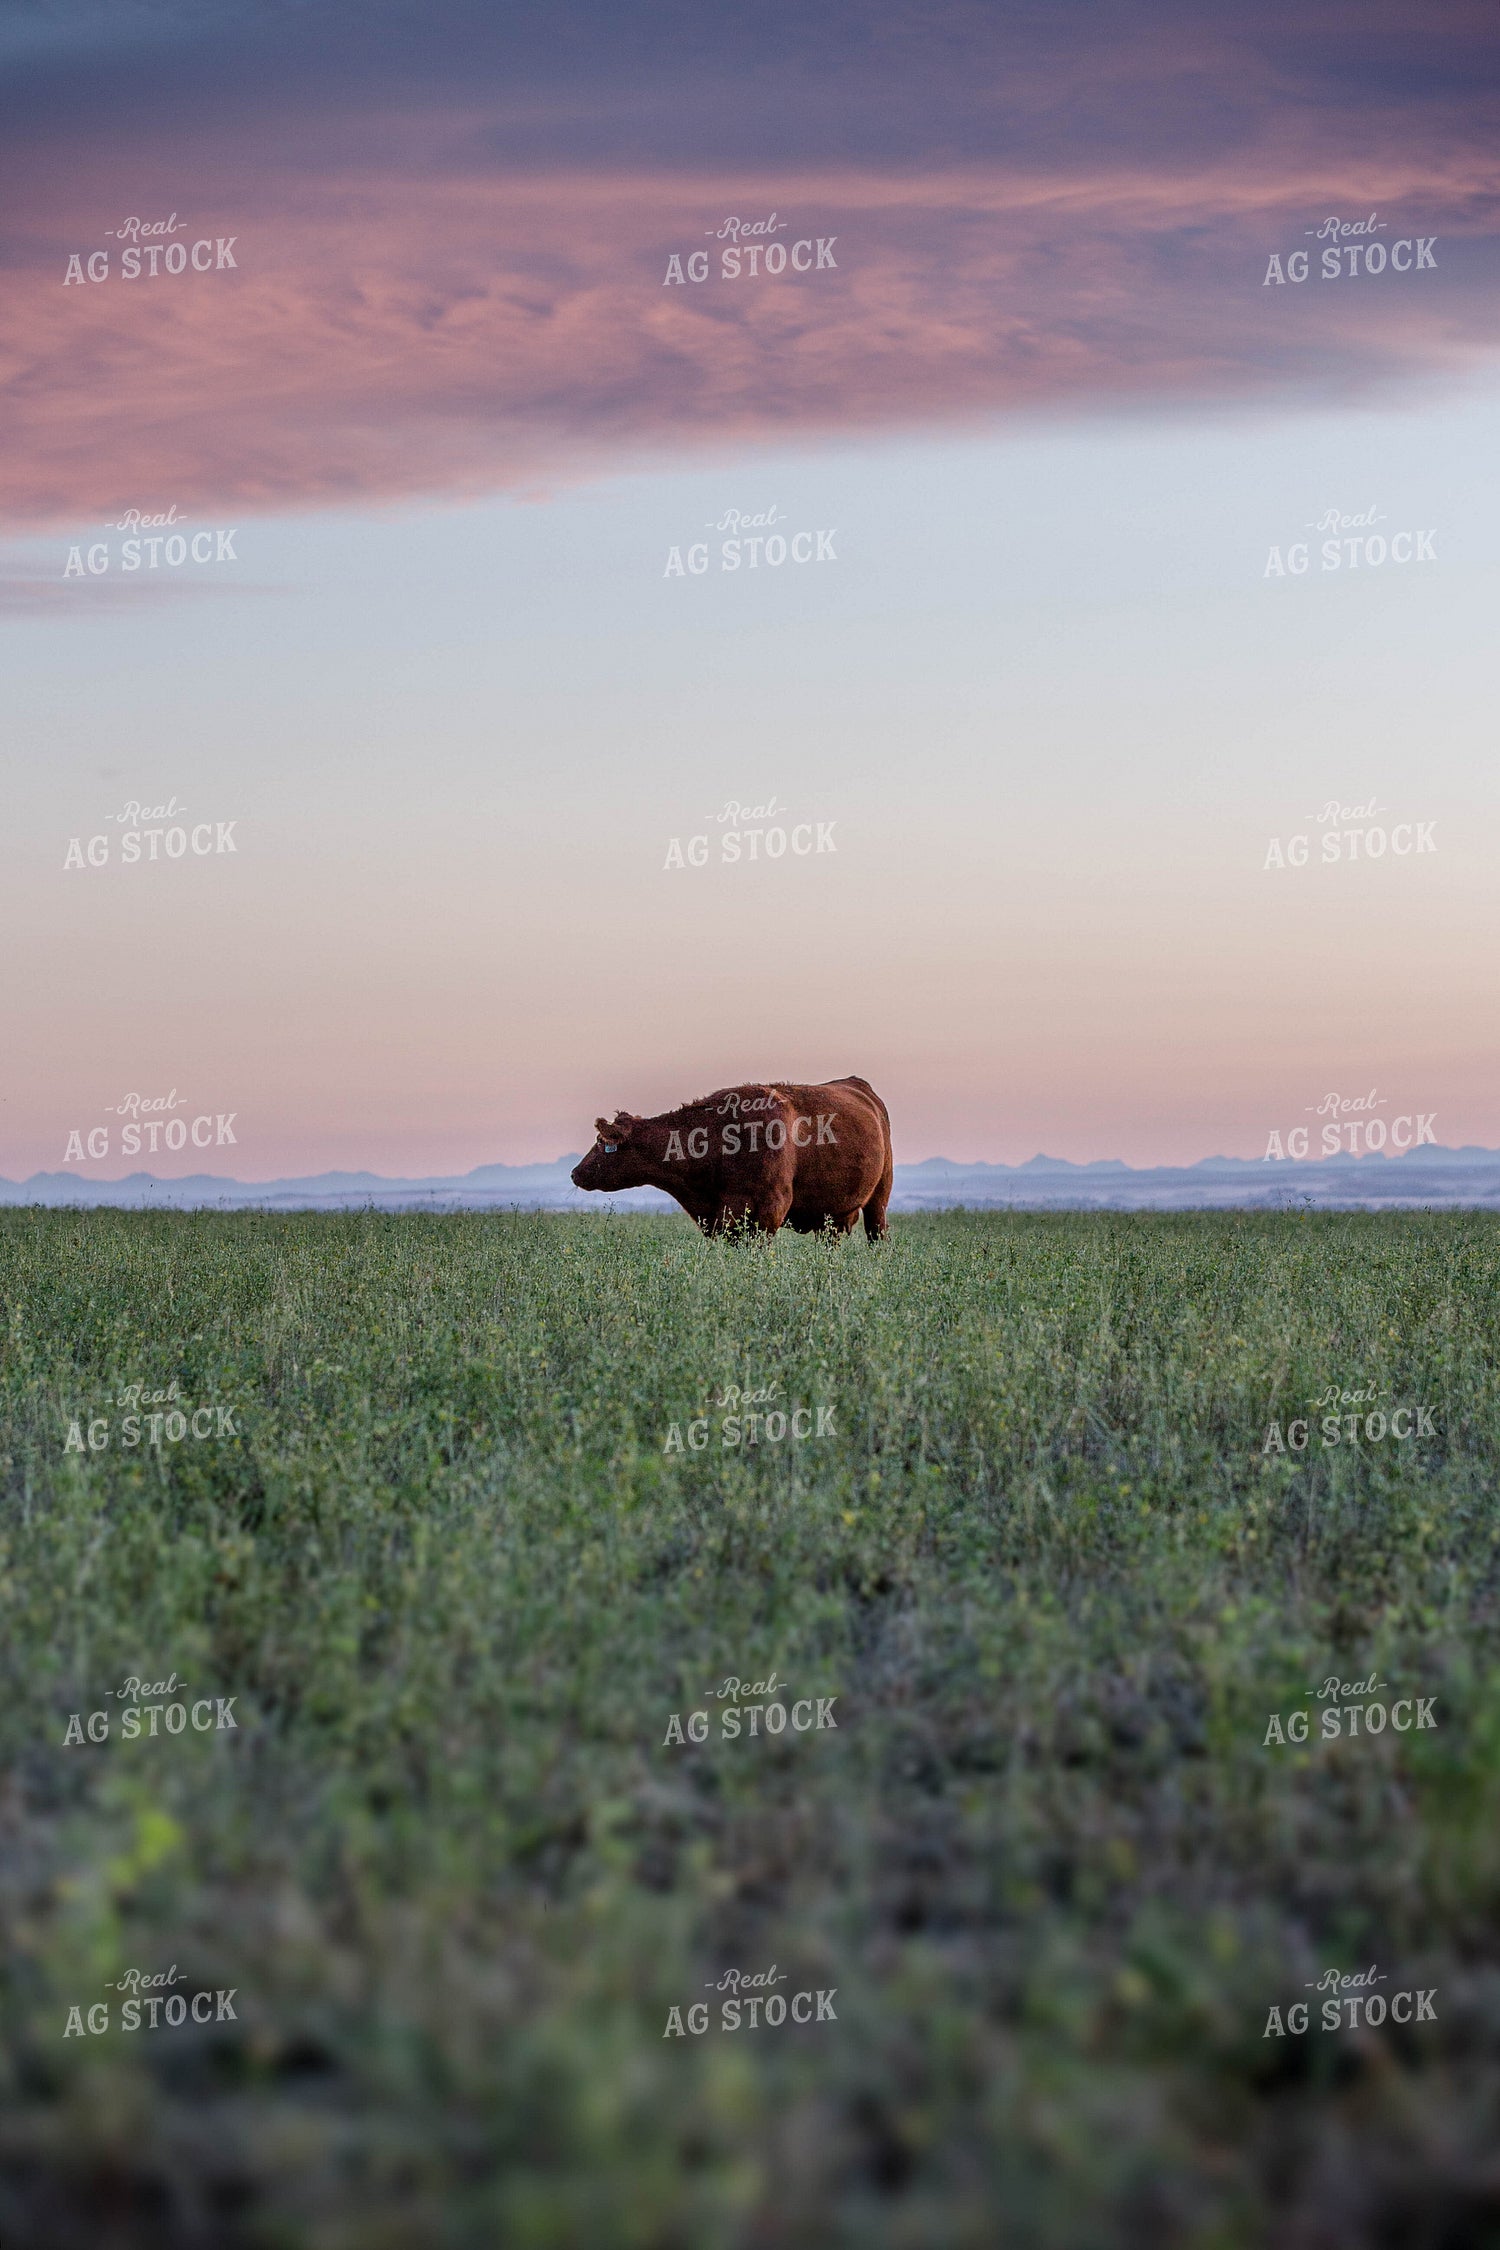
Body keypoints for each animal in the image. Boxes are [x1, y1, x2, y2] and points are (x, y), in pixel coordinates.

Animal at [570, 1076, 892, 1239]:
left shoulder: (767, 1214)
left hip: (879, 1198)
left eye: (600, 1142)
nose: (574, 1173)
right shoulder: (724, 1220)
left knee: (877, 1234)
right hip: (833, 1217)